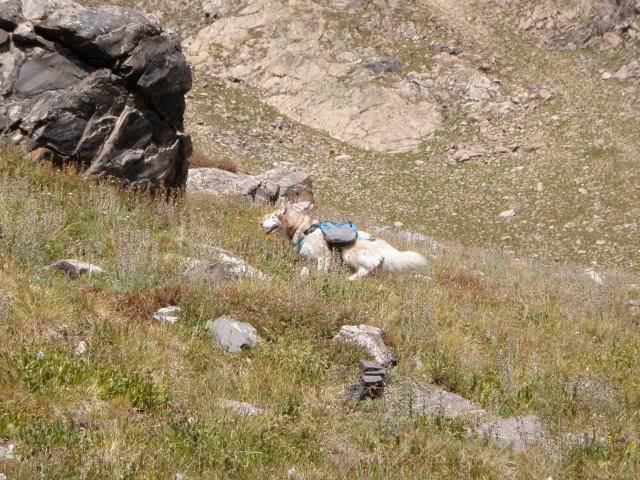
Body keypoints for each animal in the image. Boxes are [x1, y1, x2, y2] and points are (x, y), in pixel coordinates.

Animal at [262, 202, 428, 282]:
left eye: (272, 217)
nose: (261, 223)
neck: (303, 227)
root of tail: (383, 246)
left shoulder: (324, 256)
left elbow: (321, 270)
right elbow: (305, 269)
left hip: (348, 254)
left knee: (364, 270)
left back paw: (350, 279)